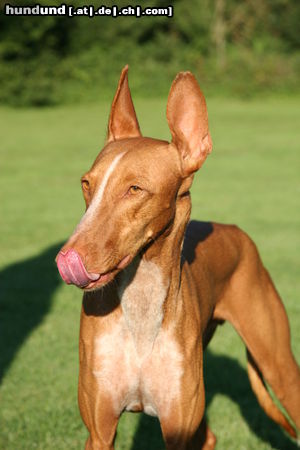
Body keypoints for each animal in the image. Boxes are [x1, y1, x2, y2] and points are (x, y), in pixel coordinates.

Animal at [55, 65, 298, 448]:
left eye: (134, 189)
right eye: (86, 184)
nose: (67, 257)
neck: (141, 306)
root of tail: (234, 230)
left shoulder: (178, 428)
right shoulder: (99, 431)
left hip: (279, 366)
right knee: (210, 435)